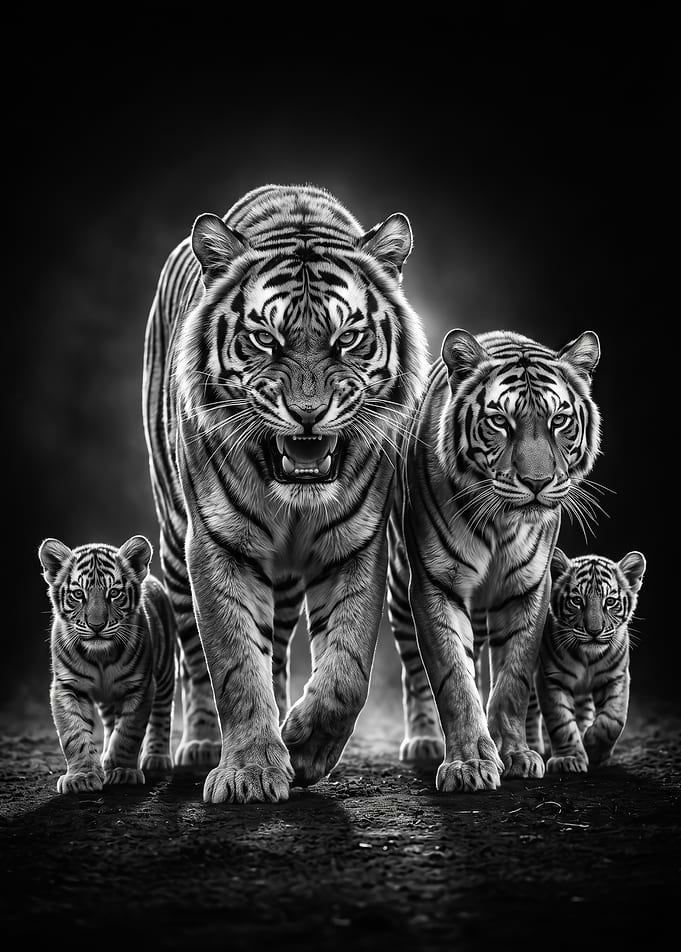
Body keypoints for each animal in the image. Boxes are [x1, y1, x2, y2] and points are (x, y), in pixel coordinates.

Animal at [38, 535, 178, 794]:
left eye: (114, 593)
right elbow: (74, 733)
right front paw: (81, 777)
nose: (96, 626)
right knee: (111, 722)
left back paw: (156, 757)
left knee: (162, 714)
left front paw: (122, 771)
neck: (100, 656)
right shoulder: (67, 687)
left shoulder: (140, 686)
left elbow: (128, 733)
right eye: (78, 594)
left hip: (165, 673)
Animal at [142, 183, 429, 804]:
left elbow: (347, 669)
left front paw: (305, 748)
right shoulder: (219, 546)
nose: (307, 413)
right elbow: (232, 666)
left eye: (349, 338)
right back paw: (200, 745)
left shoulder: (356, 545)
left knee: (275, 647)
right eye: (263, 339)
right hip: (175, 547)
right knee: (194, 659)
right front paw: (249, 772)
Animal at [387, 327, 602, 792]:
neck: (501, 524)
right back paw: (424, 740)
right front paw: (468, 763)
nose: (537, 482)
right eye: (500, 421)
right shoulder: (435, 585)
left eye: (559, 421)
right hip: (398, 585)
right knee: (413, 672)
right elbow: (453, 678)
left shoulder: (529, 588)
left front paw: (516, 752)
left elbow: (513, 680)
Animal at [530, 546, 646, 772]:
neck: (588, 657)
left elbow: (614, 720)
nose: (594, 631)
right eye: (577, 601)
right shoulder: (551, 679)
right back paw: (533, 747)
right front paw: (568, 759)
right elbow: (561, 722)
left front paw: (593, 746)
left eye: (610, 602)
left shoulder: (616, 677)